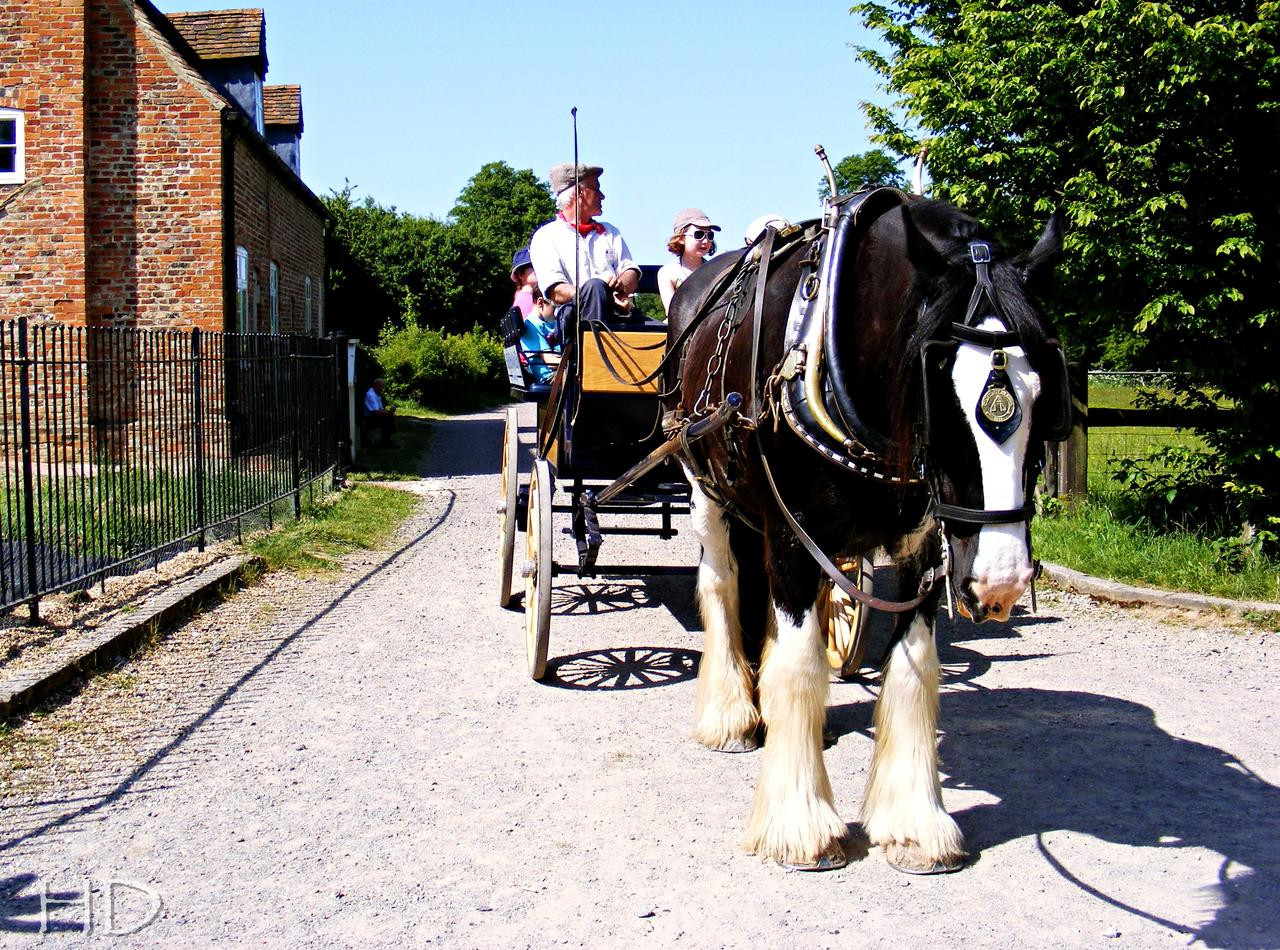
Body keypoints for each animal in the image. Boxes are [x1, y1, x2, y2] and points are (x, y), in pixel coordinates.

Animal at [664, 190, 1067, 873]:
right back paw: (733, 715)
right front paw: (800, 825)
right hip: (705, 487)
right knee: (721, 583)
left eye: (1044, 391)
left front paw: (914, 824)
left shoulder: (923, 544)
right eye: (939, 384)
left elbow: (912, 665)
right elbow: (800, 663)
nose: (1000, 582)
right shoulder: (793, 535)